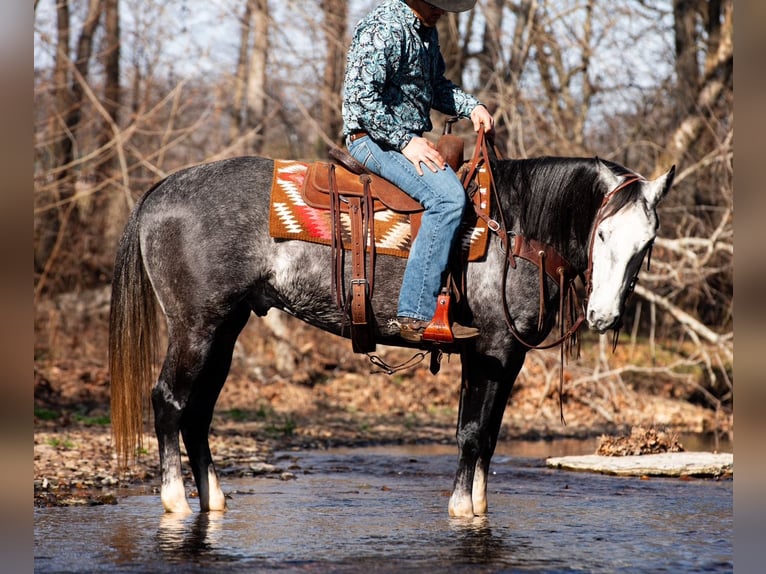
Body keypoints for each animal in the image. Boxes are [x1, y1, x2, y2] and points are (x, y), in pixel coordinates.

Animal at [108, 143, 674, 518]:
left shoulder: (498, 357)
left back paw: (214, 499)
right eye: (603, 233)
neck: (515, 231)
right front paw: (461, 509)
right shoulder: (493, 349)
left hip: (224, 330)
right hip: (195, 328)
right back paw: (177, 502)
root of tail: (160, 192)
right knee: (169, 402)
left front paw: (478, 505)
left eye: (647, 242)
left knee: (199, 413)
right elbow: (473, 433)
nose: (605, 317)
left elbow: (486, 435)